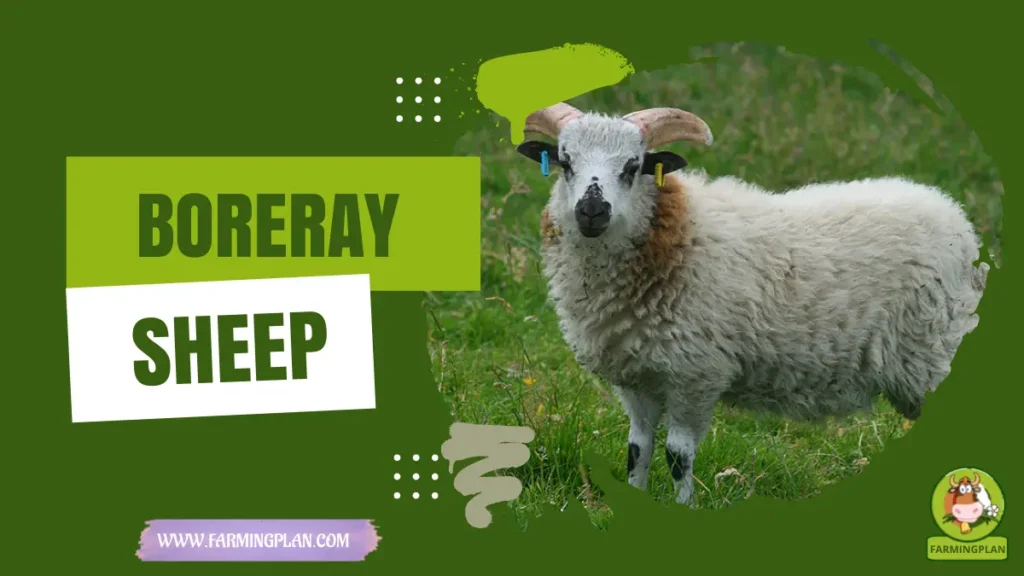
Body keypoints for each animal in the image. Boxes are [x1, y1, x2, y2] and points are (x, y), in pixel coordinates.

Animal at [514, 102, 990, 505]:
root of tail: (960, 224)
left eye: (633, 167)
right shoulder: (637, 379)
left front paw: (683, 508)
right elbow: (638, 450)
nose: (591, 211)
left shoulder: (696, 374)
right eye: (565, 162)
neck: (675, 236)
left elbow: (677, 455)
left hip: (936, 352)